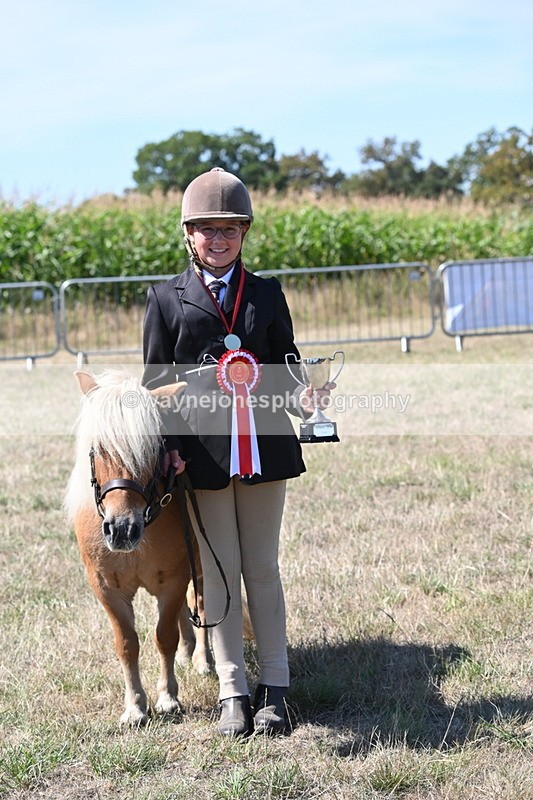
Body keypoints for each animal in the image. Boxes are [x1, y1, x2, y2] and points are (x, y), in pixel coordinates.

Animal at [64, 369, 210, 727]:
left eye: (153, 448)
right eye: (98, 449)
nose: (121, 530)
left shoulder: (172, 581)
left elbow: (163, 636)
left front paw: (168, 698)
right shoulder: (107, 589)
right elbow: (127, 643)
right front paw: (134, 707)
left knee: (201, 604)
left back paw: (202, 659)